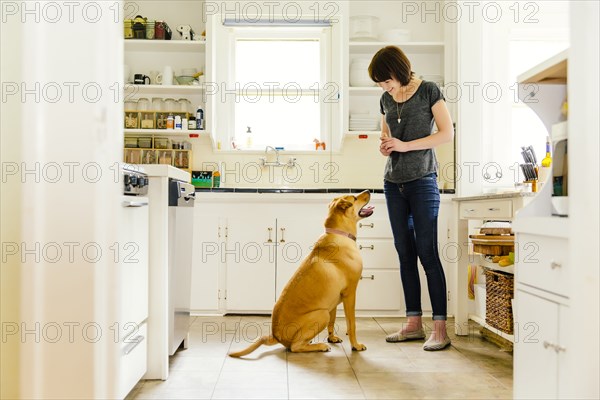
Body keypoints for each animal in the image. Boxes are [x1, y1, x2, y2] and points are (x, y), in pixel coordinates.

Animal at [230, 191, 376, 356]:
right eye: (355, 198)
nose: (369, 191)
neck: (340, 234)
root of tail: (275, 336)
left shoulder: (333, 301)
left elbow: (333, 322)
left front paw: (332, 338)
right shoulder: (350, 293)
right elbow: (352, 324)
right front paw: (356, 345)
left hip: (325, 311)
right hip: (322, 314)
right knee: (295, 347)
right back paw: (319, 346)